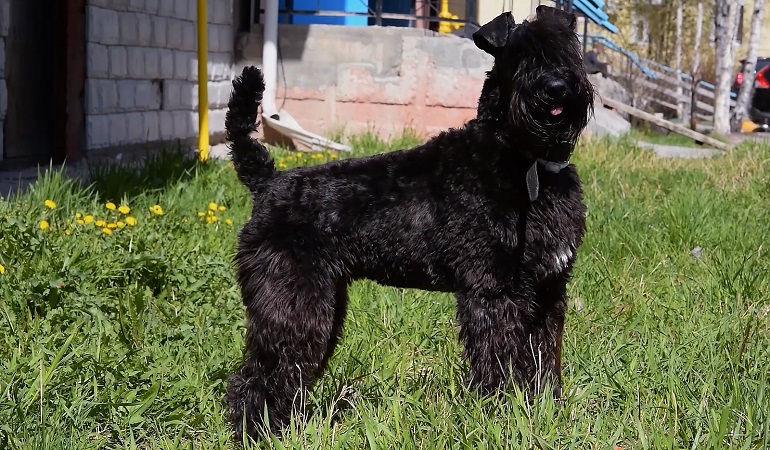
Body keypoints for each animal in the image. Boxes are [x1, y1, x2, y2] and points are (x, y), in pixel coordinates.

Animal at [225, 6, 592, 442]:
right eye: (519, 54)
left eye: (568, 46)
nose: (556, 88)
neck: (525, 162)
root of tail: (267, 182)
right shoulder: (495, 291)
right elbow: (501, 359)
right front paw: (502, 415)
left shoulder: (549, 288)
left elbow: (543, 356)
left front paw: (546, 410)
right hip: (293, 303)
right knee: (255, 376)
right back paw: (257, 430)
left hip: (323, 304)